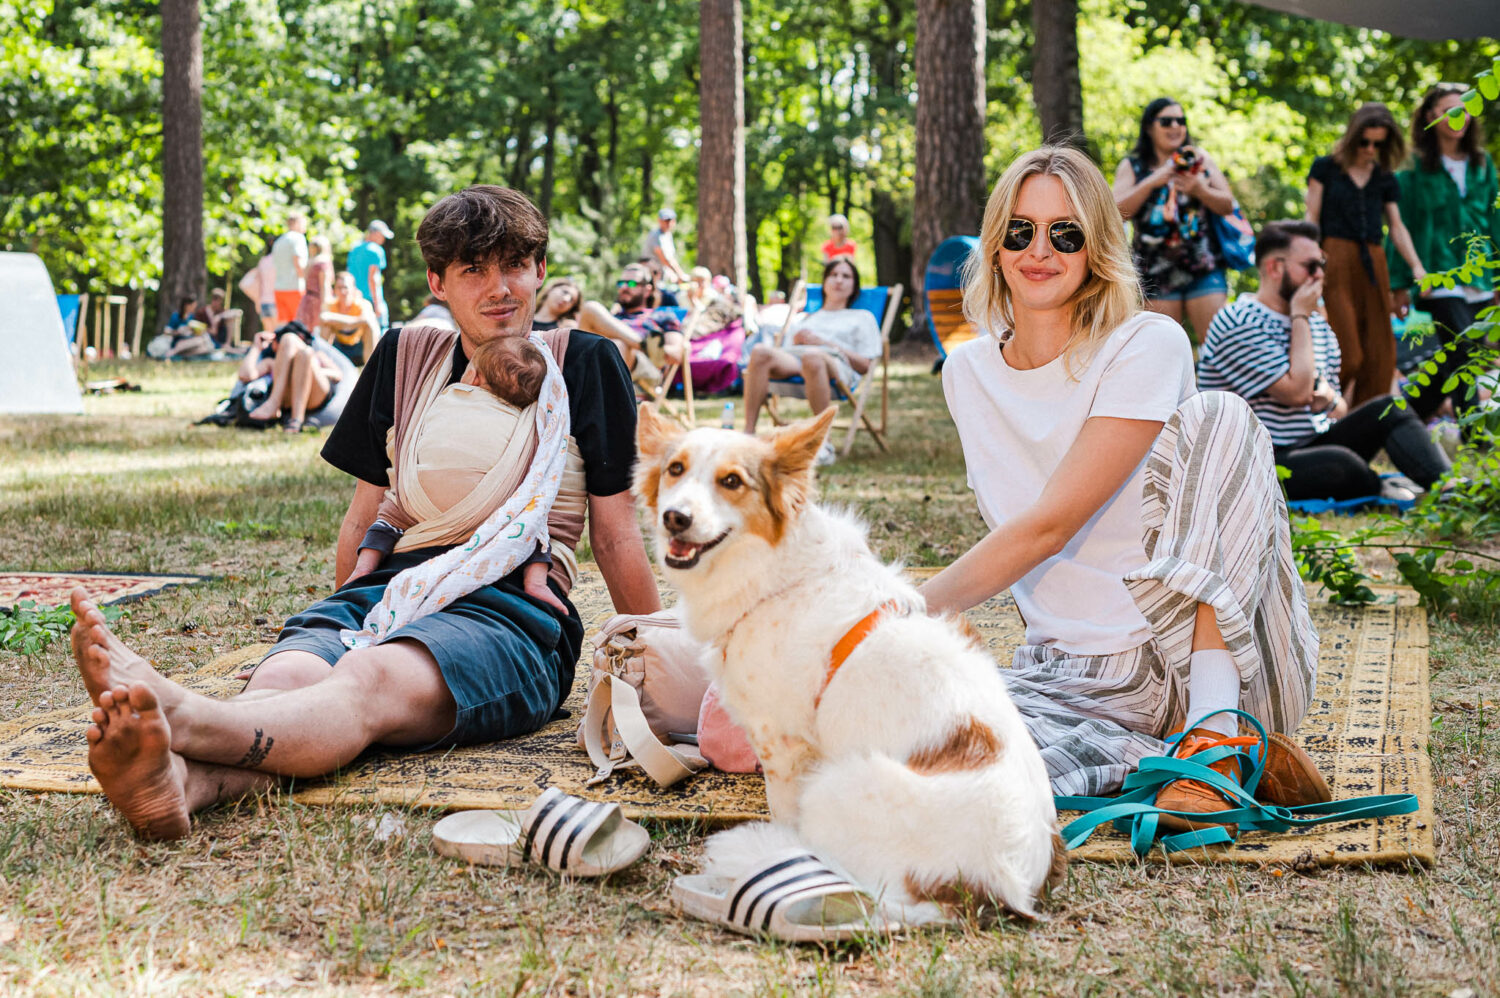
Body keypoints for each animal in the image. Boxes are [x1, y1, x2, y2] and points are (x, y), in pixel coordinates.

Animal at [633, 405, 1068, 918]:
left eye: (732, 481)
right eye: (675, 469)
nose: (675, 518)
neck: (778, 575)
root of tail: (994, 888)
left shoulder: (782, 746)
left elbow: (784, 814)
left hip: (834, 784)